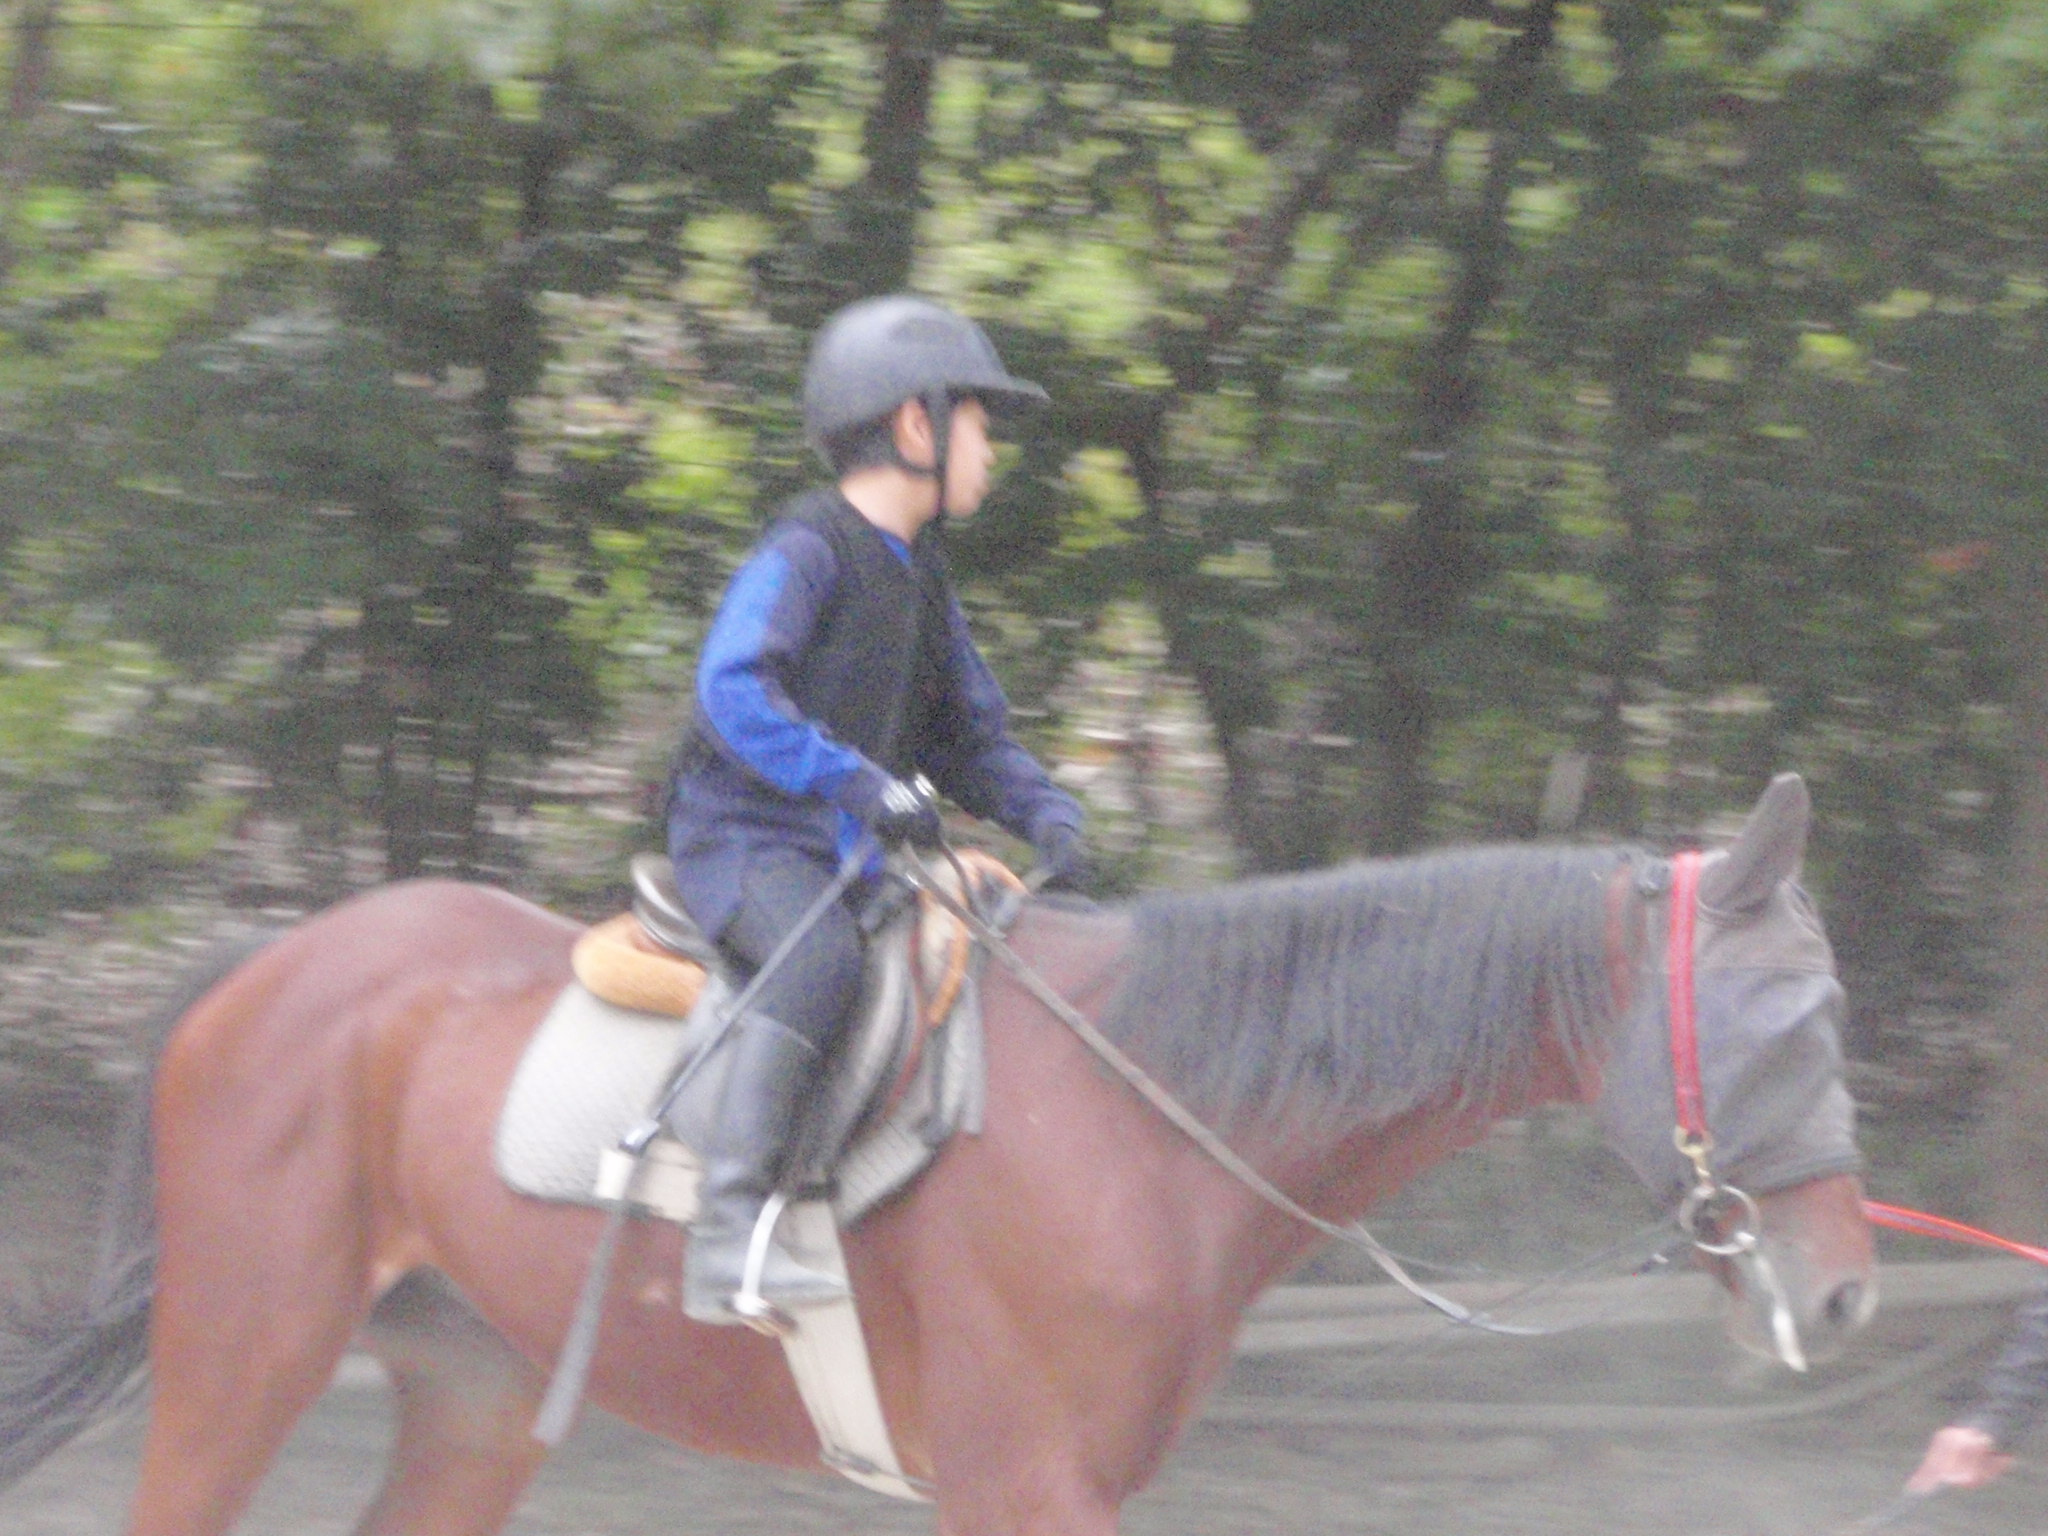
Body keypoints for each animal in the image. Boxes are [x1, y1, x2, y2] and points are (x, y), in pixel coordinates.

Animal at [0, 772, 1874, 1535]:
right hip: (247, 1349)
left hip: (468, 1390)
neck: (1150, 1115)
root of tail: (275, 965)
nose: (1845, 1298)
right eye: (1788, 1029)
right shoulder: (1027, 1486)